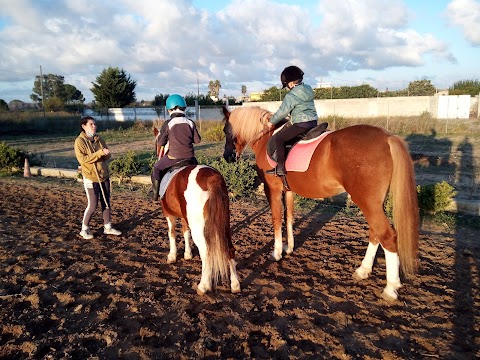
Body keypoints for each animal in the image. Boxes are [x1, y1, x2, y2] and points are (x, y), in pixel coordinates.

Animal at [153, 126, 240, 296]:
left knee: (206, 253)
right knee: (229, 249)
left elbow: (172, 233)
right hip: (224, 222)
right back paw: (235, 285)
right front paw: (187, 254)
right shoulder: (185, 217)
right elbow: (185, 232)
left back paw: (203, 286)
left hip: (200, 227)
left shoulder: (169, 214)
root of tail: (212, 178)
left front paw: (172, 256)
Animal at [223, 106, 418, 300]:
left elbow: (277, 219)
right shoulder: (288, 190)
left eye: (226, 130)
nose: (227, 157)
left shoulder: (273, 189)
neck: (266, 136)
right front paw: (289, 247)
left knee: (387, 236)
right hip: (375, 203)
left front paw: (276, 253)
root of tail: (387, 137)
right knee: (375, 232)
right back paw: (363, 271)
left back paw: (391, 288)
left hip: (367, 201)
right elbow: (289, 217)